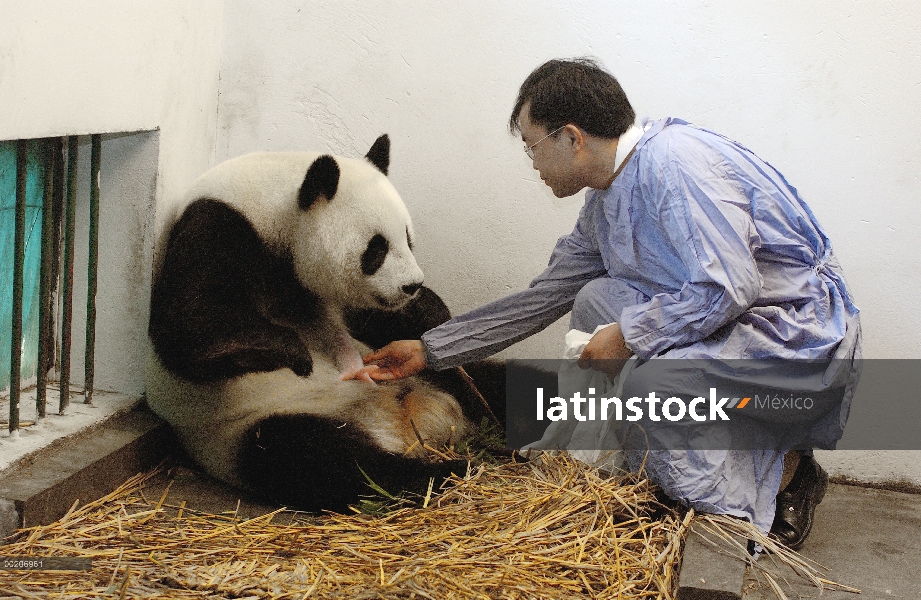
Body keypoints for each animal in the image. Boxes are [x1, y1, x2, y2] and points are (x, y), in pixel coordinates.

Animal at [148, 136, 496, 510]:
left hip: (430, 375)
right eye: (376, 249)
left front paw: (428, 310)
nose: (412, 285)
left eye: (408, 238)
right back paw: (439, 472)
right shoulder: (219, 229)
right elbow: (191, 326)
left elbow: (377, 318)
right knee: (315, 456)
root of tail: (401, 423)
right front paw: (292, 352)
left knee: (482, 376)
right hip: (248, 428)